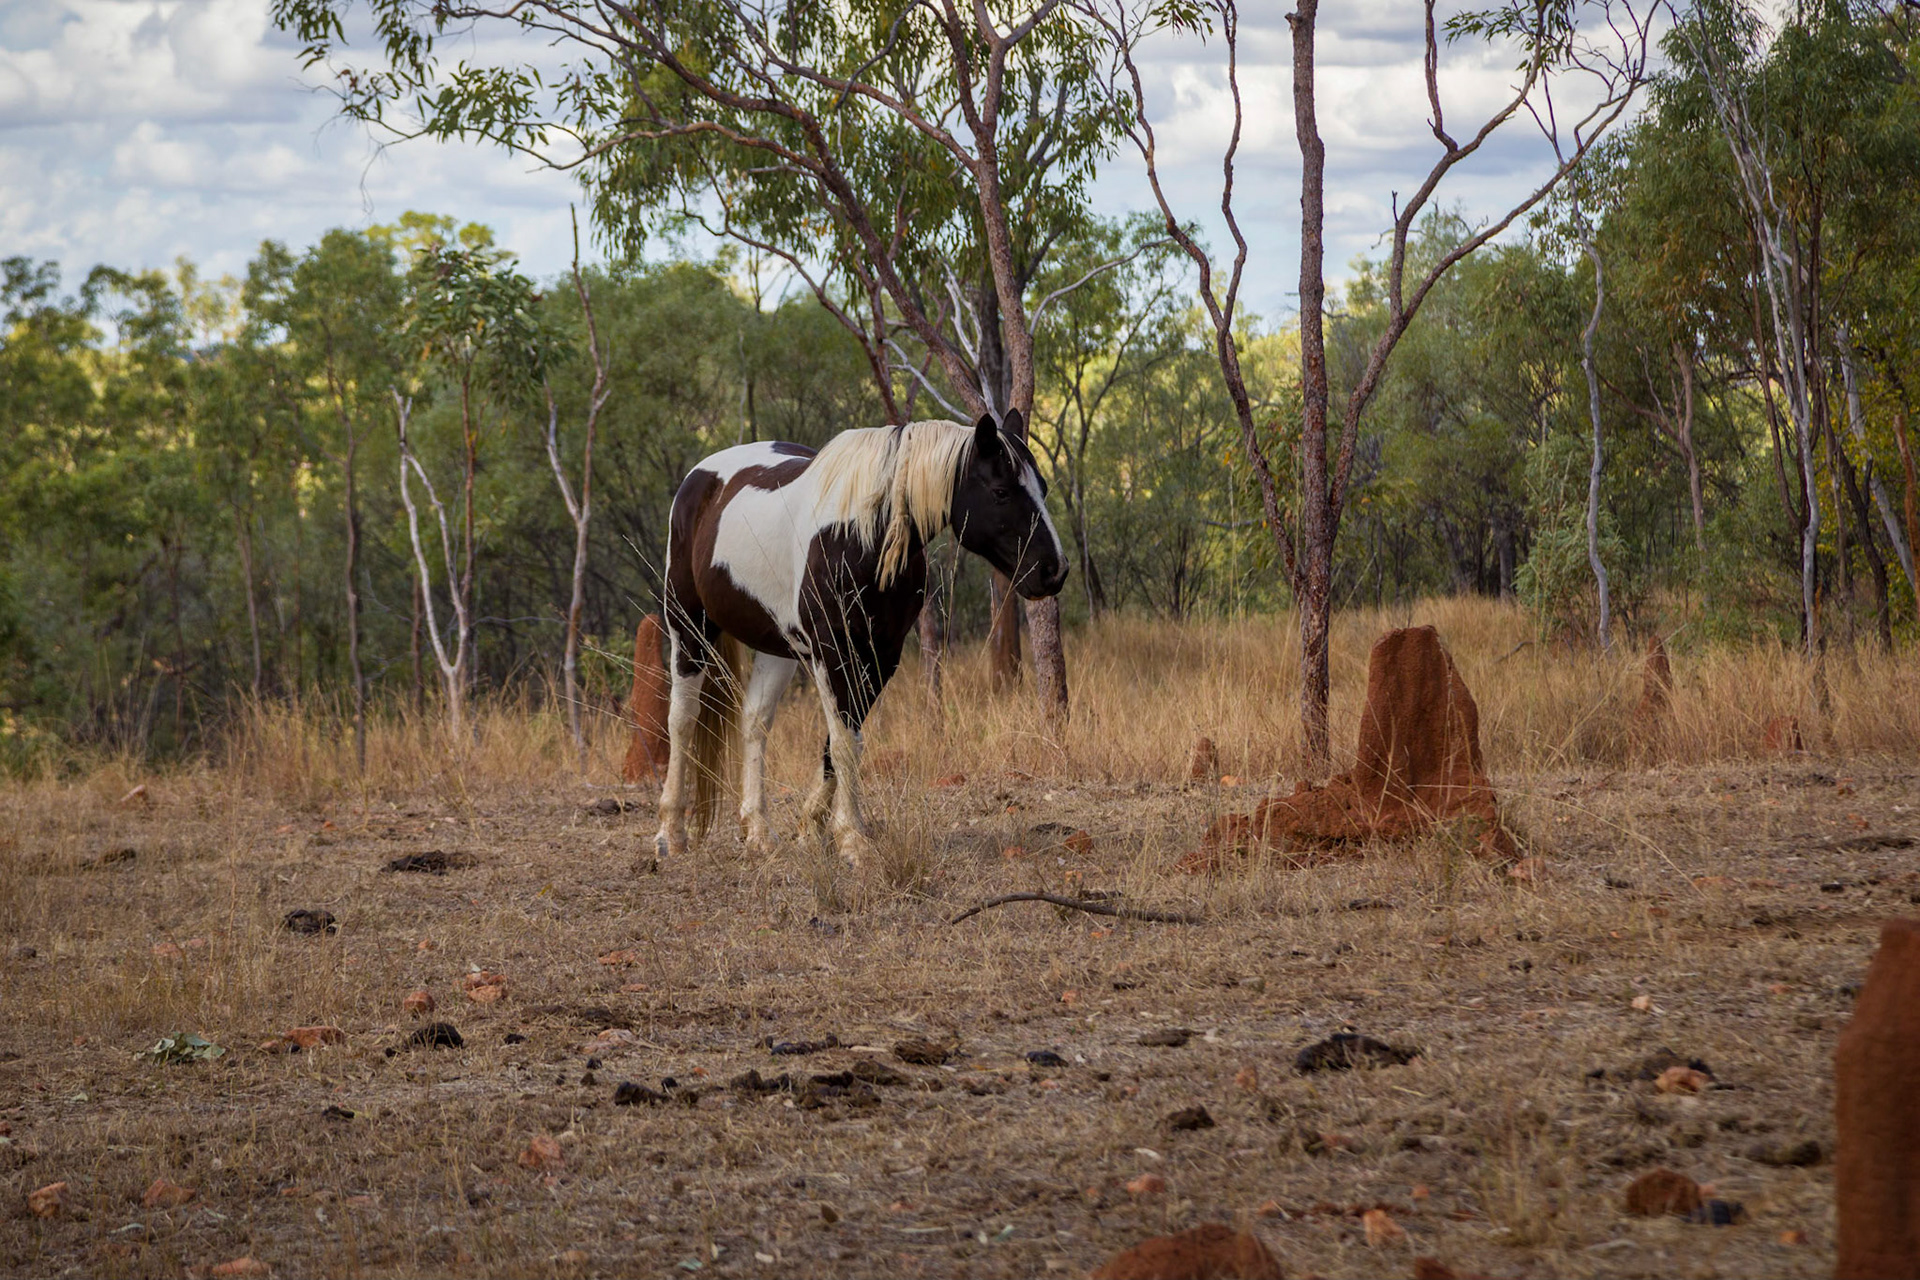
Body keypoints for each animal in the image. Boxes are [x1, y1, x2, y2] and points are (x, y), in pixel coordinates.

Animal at [653, 409, 1068, 865]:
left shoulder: (882, 654)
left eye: (1043, 487)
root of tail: (700, 477)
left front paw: (813, 827)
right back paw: (671, 833)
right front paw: (852, 838)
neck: (860, 536)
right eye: (1000, 491)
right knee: (682, 718)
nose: (1055, 571)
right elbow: (844, 743)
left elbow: (840, 744)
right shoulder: (830, 653)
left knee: (754, 722)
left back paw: (759, 832)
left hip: (777, 648)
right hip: (688, 625)